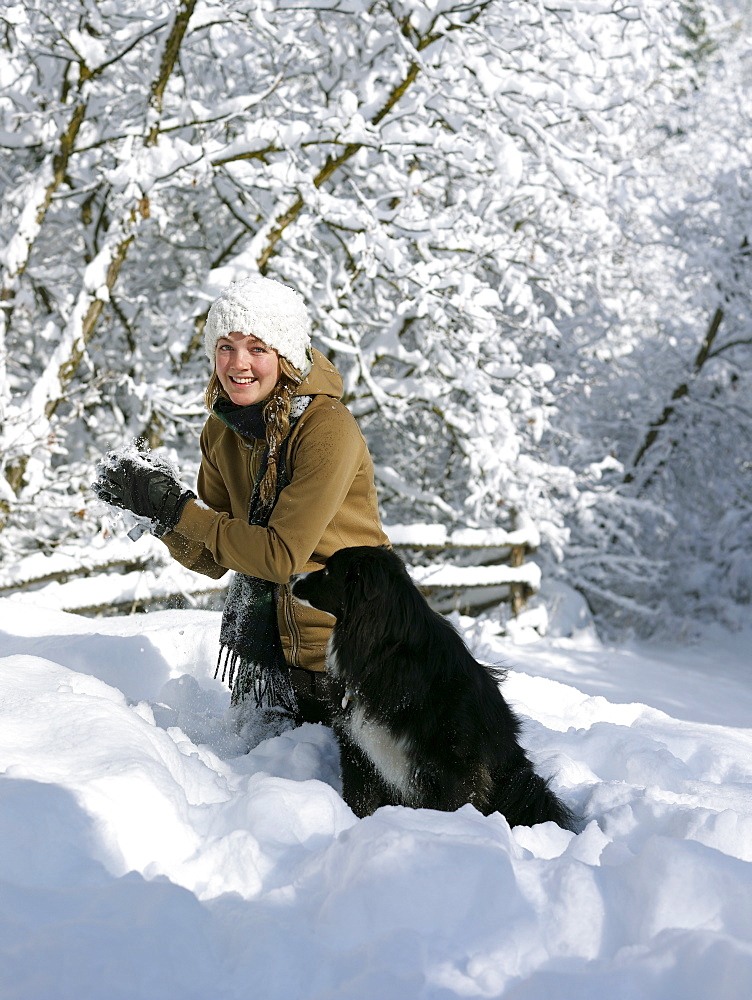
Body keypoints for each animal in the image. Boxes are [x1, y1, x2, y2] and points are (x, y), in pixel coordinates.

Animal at [294, 548, 576, 828]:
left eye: (328, 571)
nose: (293, 577)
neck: (387, 652)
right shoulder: (357, 749)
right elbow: (358, 798)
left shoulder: (456, 764)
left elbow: (454, 803)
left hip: (522, 783)